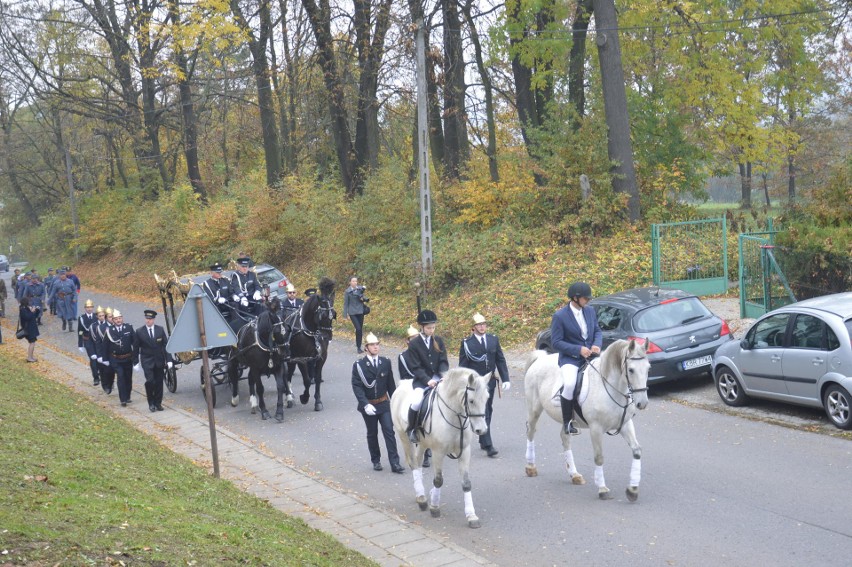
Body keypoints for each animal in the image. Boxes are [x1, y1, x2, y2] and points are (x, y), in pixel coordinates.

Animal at [284, 278, 334, 410]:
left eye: (333, 315)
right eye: (323, 315)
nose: (327, 337)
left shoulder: (321, 357)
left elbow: (317, 378)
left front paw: (318, 401)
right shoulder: (302, 359)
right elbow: (306, 380)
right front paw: (305, 397)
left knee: (289, 374)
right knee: (286, 376)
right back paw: (288, 397)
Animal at [392, 368, 490, 528]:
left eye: (487, 398)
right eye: (471, 400)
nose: (481, 430)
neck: (455, 416)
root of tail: (403, 384)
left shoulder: (464, 451)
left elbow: (466, 483)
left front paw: (471, 516)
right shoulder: (438, 452)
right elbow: (438, 480)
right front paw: (434, 507)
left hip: (423, 443)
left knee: (418, 462)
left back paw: (422, 494)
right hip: (404, 437)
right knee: (413, 463)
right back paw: (421, 498)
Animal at [524, 338, 648, 502]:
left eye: (648, 368)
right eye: (631, 370)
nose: (642, 403)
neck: (611, 388)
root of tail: (540, 358)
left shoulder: (625, 424)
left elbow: (637, 451)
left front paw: (632, 490)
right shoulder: (596, 429)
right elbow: (599, 457)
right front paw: (602, 489)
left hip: (567, 421)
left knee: (564, 437)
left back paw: (574, 475)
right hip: (534, 408)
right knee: (531, 431)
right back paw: (531, 467)